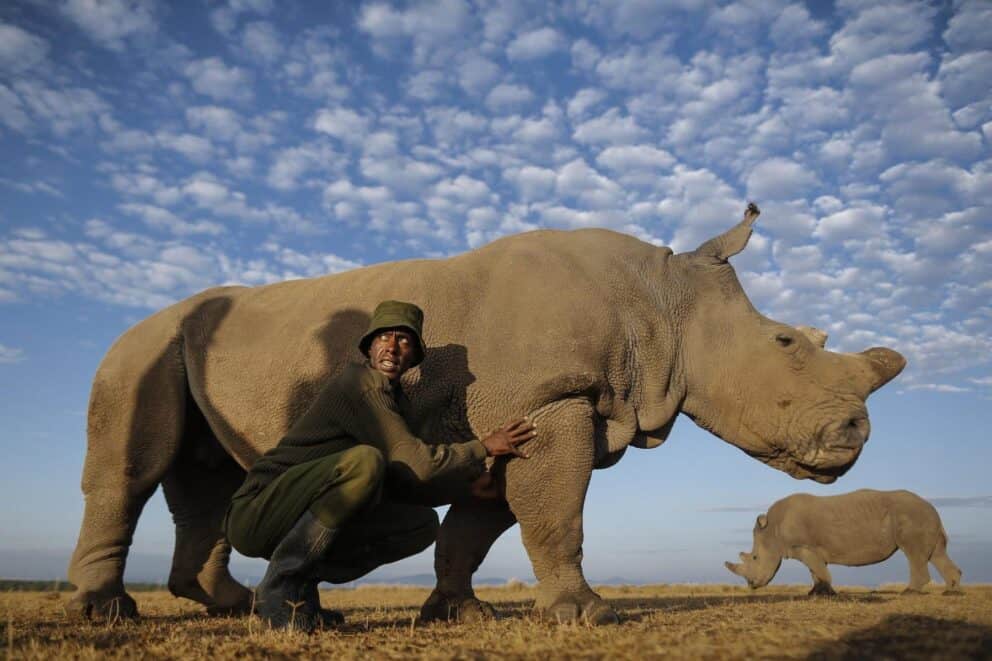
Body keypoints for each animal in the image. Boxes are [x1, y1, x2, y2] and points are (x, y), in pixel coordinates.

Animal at [67, 203, 906, 625]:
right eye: (786, 342)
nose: (858, 434)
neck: (665, 299)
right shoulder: (551, 401)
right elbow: (557, 514)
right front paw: (587, 614)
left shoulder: (528, 412)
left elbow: (477, 526)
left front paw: (456, 613)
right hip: (138, 347)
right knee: (130, 470)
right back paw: (112, 615)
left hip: (188, 349)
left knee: (202, 481)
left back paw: (233, 604)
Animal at [725, 489, 963, 595]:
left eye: (755, 557)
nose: (751, 585)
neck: (773, 532)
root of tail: (931, 506)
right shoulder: (810, 548)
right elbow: (815, 571)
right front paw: (817, 593)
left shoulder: (804, 546)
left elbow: (818, 569)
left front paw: (824, 593)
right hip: (922, 516)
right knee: (936, 554)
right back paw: (951, 591)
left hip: (912, 515)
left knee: (913, 553)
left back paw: (909, 592)